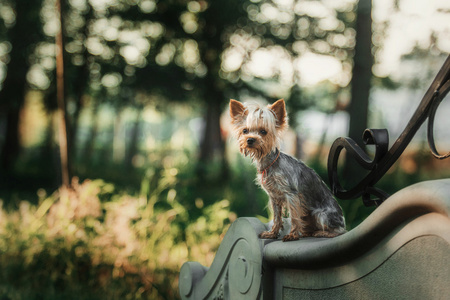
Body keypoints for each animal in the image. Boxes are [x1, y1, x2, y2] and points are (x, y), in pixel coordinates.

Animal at [230, 98, 346, 241]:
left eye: (263, 132)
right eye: (245, 131)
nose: (250, 140)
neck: (270, 164)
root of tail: (343, 221)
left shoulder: (292, 195)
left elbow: (294, 217)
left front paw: (292, 235)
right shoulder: (274, 197)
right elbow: (277, 217)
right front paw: (272, 233)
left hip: (321, 215)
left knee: (339, 231)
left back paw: (323, 232)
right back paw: (308, 232)